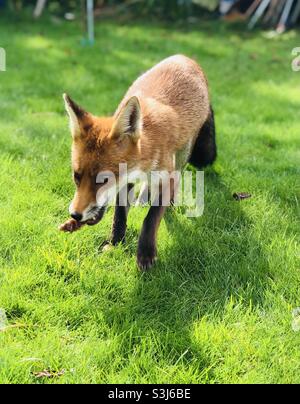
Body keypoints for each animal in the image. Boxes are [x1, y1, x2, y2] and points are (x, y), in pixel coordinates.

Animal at [59, 52, 217, 268]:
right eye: (76, 176)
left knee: (178, 176)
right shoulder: (126, 181)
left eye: (104, 180)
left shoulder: (166, 176)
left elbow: (151, 218)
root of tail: (184, 57)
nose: (75, 215)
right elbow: (119, 215)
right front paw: (115, 242)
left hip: (184, 155)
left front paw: (146, 253)